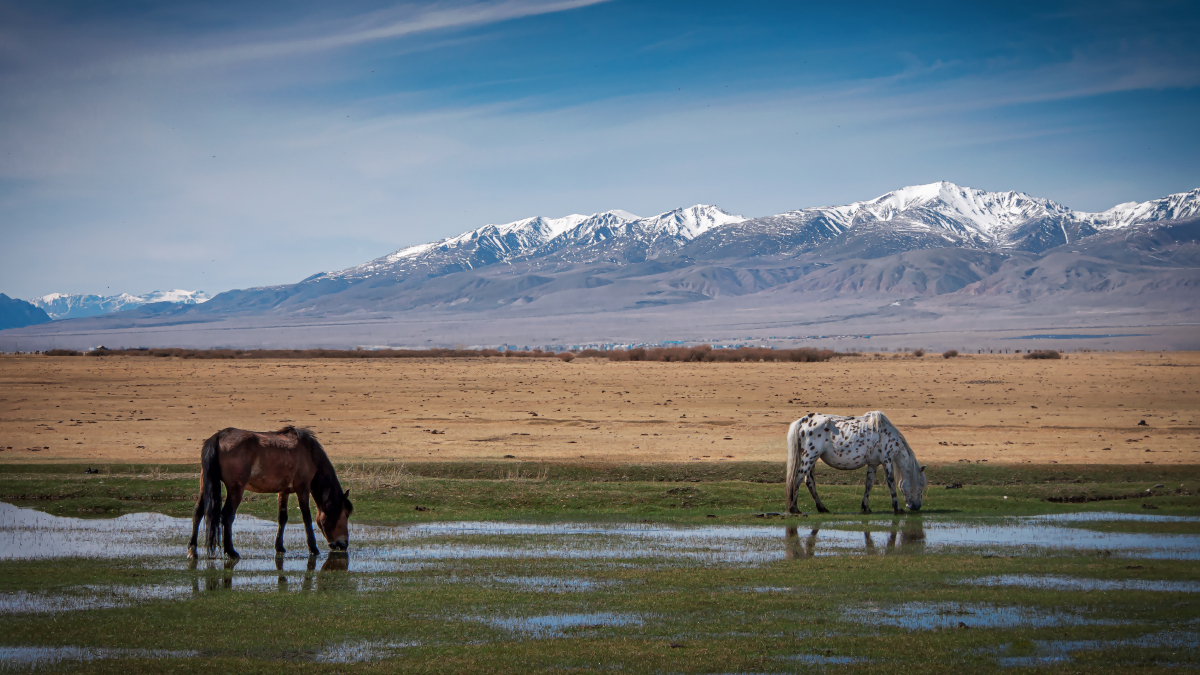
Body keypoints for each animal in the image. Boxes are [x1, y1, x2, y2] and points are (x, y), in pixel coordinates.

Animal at [186, 426, 353, 559]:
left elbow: (282, 518)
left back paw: (192, 550)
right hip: (235, 489)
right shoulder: (303, 488)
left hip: (204, 483)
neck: (309, 453)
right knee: (227, 515)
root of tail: (219, 436)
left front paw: (279, 547)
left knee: (198, 512)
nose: (344, 544)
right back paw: (231, 551)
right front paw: (313, 548)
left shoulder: (284, 491)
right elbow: (306, 517)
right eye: (345, 514)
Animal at [785, 411, 927, 515]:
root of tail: (803, 421)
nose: (916, 506)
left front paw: (866, 507)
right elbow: (891, 483)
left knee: (809, 482)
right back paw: (794, 508)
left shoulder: (873, 464)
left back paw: (822, 508)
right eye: (921, 484)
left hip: (812, 460)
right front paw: (898, 508)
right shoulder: (887, 461)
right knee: (797, 479)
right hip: (809, 458)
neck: (886, 432)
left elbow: (869, 484)